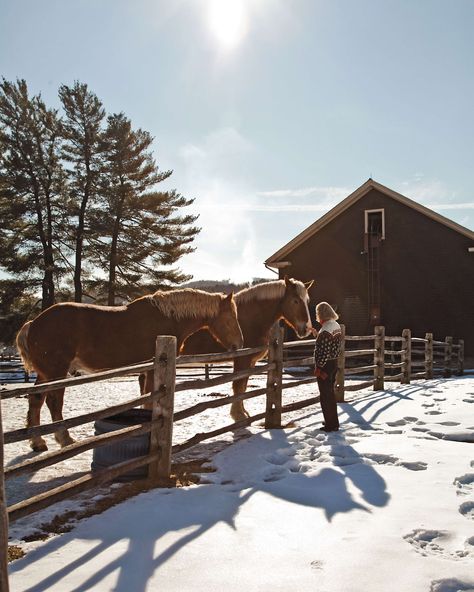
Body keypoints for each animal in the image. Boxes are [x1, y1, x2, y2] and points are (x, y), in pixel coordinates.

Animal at [16, 286, 243, 448]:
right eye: (230, 317)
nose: (239, 344)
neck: (168, 317)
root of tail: (34, 324)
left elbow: (146, 399)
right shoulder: (152, 370)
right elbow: (150, 401)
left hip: (45, 373)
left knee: (36, 399)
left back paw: (37, 442)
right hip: (56, 372)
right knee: (54, 401)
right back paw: (64, 439)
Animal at [139, 276, 312, 420]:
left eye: (306, 301)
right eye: (295, 301)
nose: (306, 329)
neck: (251, 318)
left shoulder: (250, 362)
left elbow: (243, 386)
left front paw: (242, 412)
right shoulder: (242, 360)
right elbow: (238, 386)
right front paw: (238, 415)